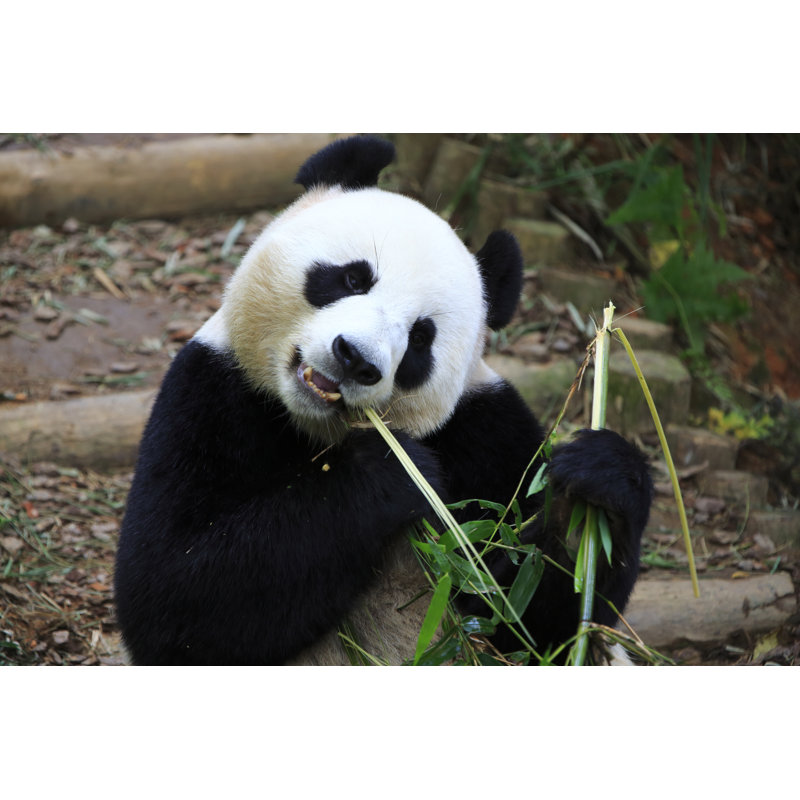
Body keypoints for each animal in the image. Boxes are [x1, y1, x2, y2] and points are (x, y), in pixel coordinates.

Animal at [114, 135, 653, 666]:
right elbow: (172, 590)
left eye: (420, 339)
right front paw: (395, 471)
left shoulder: (485, 429)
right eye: (354, 277)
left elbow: (534, 616)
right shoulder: (212, 395)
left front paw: (592, 493)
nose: (355, 359)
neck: (314, 430)